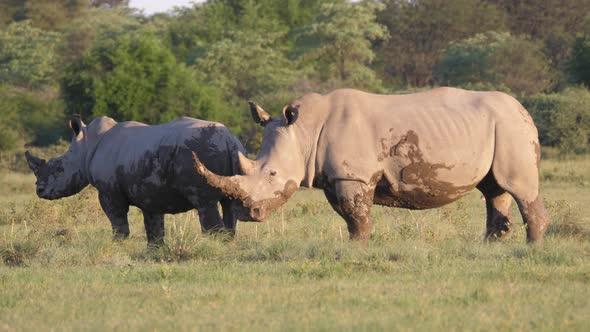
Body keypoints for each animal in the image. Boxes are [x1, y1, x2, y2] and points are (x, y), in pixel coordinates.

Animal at [24, 115, 247, 245]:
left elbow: (117, 220)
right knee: (228, 205)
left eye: (59, 168)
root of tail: (227, 139)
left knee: (205, 203)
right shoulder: (150, 190)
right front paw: (155, 250)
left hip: (199, 152)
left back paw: (214, 245)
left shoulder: (109, 191)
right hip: (235, 152)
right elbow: (153, 224)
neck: (86, 147)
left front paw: (117, 244)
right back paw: (227, 244)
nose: (39, 190)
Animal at [194, 87, 556, 244]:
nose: (248, 214)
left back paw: (532, 248)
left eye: (272, 174)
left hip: (512, 127)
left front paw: (358, 248)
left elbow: (356, 214)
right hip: (499, 127)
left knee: (519, 186)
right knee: (494, 188)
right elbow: (347, 213)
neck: (304, 132)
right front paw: (356, 244)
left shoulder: (353, 175)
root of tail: (524, 110)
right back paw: (491, 245)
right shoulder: (336, 176)